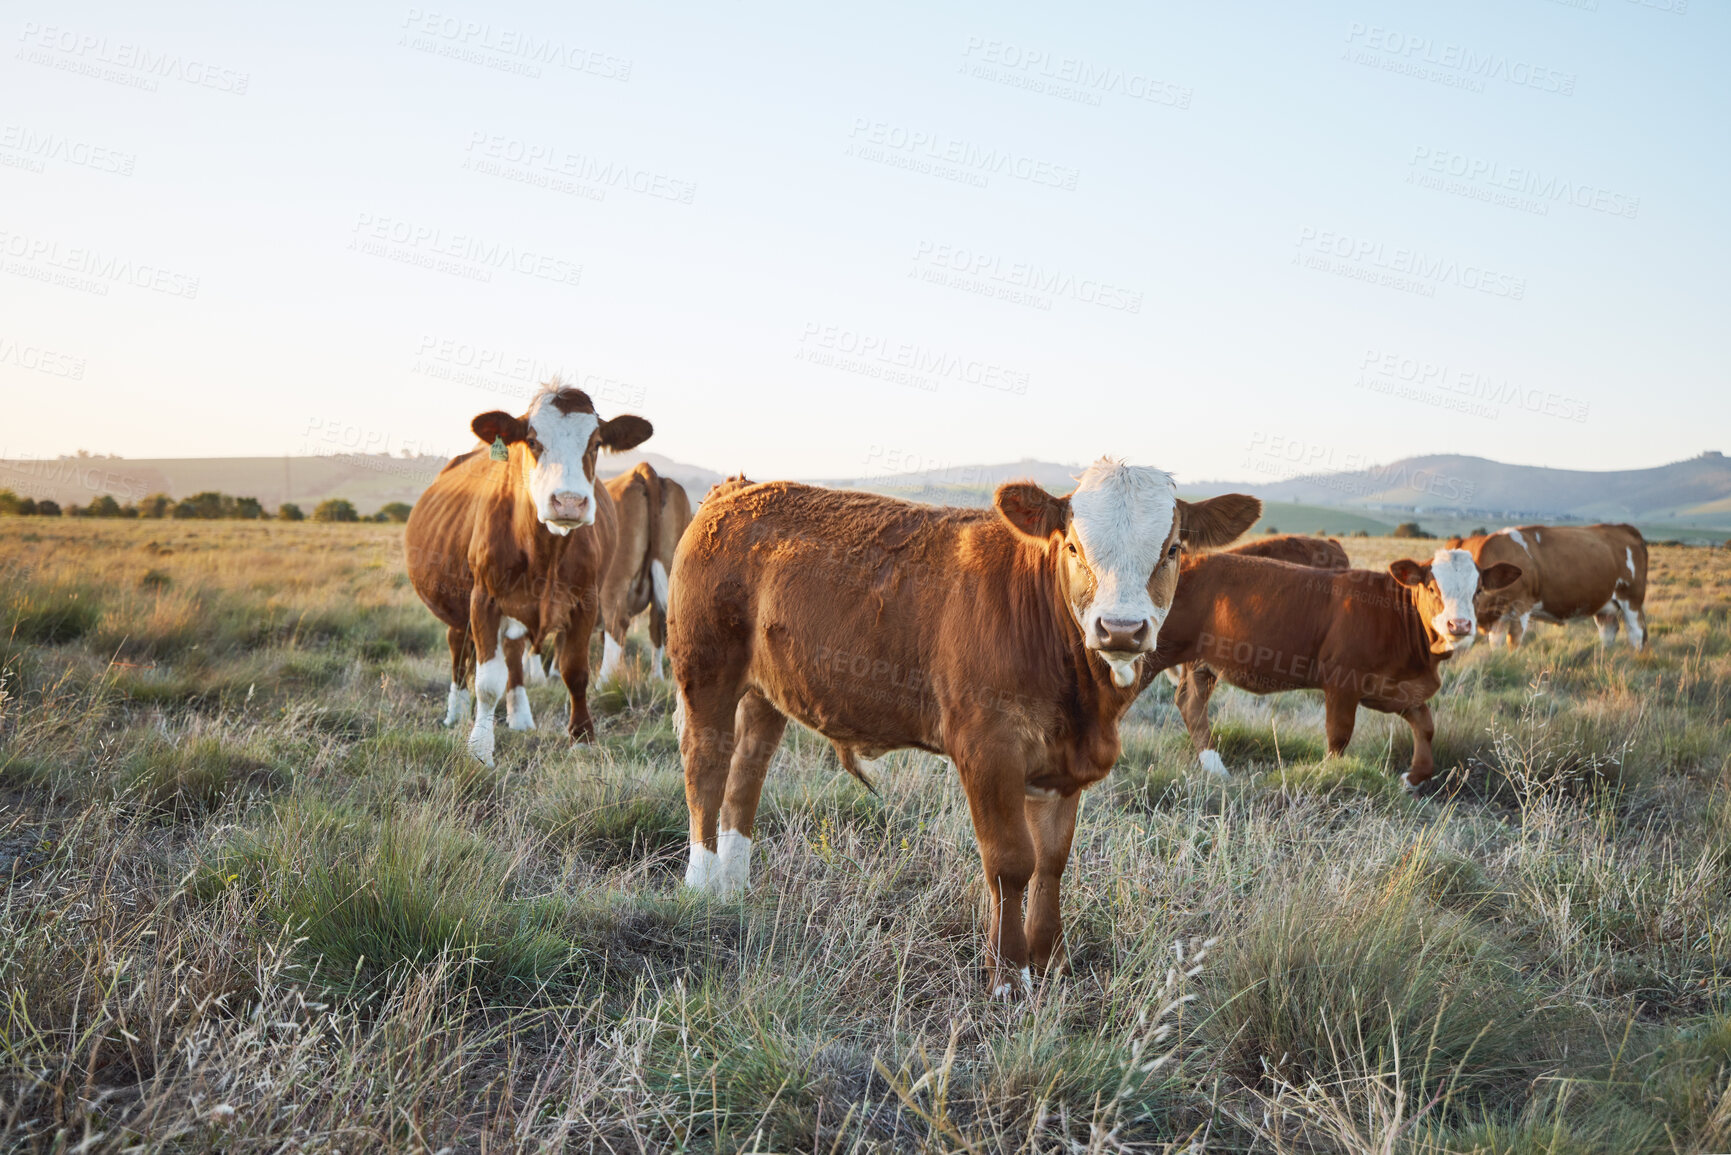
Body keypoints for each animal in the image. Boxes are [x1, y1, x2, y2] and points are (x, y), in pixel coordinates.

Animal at [405, 384, 654, 768]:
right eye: (533, 441)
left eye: (596, 443)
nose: (568, 501)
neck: (545, 551)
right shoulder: (484, 599)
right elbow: (487, 681)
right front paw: (480, 748)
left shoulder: (586, 601)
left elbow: (575, 671)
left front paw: (582, 738)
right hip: (458, 604)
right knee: (458, 649)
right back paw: (455, 712)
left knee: (512, 655)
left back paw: (520, 716)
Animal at [664, 460, 1260, 997]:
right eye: (1073, 547)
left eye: (1172, 549)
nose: (1120, 628)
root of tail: (736, 490)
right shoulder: (988, 749)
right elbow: (1010, 863)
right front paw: (1008, 977)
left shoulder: (1062, 766)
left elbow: (1052, 862)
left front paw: (1050, 962)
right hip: (705, 670)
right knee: (706, 768)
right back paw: (701, 887)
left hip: (766, 691)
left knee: (747, 771)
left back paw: (734, 888)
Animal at [1142, 550, 1523, 786]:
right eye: (1431, 587)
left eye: (1478, 589)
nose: (1460, 626)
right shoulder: (1343, 682)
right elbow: (1339, 734)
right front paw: (1328, 775)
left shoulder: (1396, 689)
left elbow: (1426, 727)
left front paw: (1412, 778)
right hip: (1154, 653)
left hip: (1202, 663)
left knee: (1191, 704)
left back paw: (1215, 768)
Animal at [1440, 522, 1640, 651]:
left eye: (1477, 590)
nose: (1457, 625)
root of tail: (1623, 527)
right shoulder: (1498, 616)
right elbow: (1495, 643)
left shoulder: (1521, 607)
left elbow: (1514, 641)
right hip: (1604, 607)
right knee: (1608, 631)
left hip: (1631, 601)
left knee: (1637, 634)